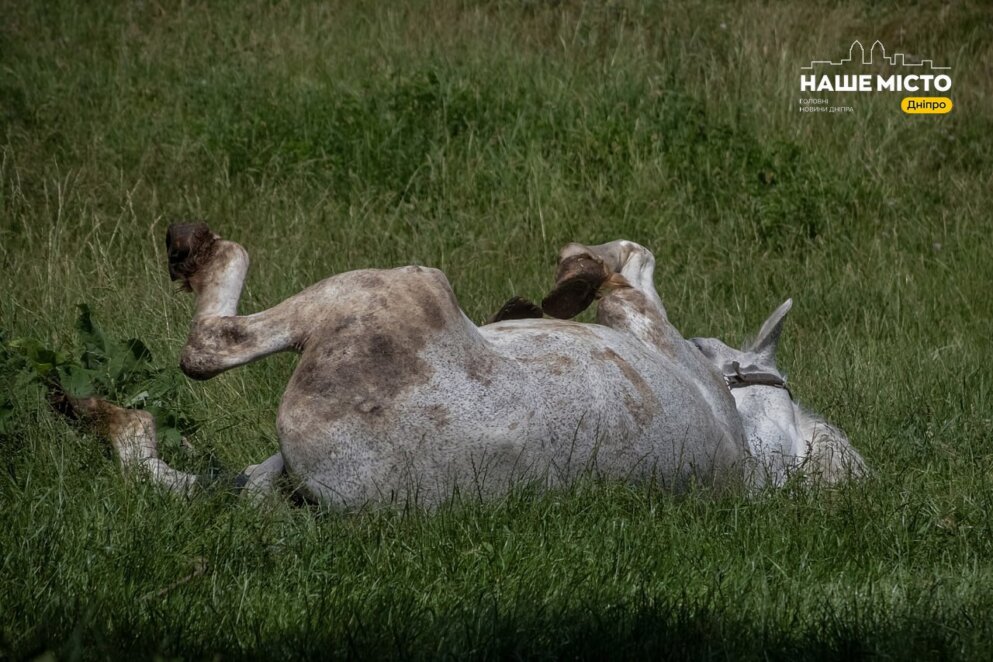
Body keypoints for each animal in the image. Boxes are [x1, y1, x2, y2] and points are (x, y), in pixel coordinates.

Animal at [62, 226, 864, 506]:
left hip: (388, 286)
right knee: (157, 462)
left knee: (208, 347)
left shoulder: (645, 318)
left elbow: (631, 256)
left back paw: (199, 252)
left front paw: (571, 276)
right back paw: (98, 415)